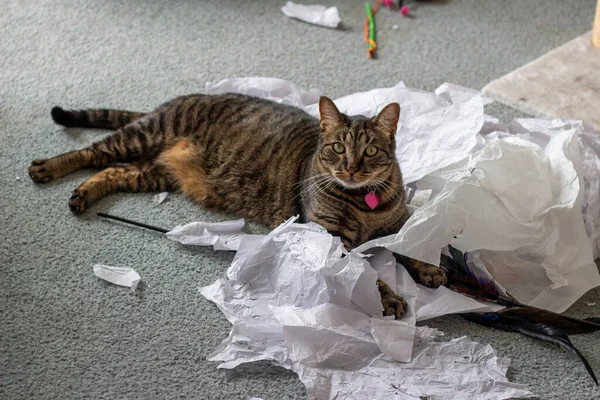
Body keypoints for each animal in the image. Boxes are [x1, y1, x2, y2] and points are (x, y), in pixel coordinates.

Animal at [28, 92, 446, 318]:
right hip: (141, 137)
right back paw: (48, 168)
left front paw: (429, 268)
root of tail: (178, 99)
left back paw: (83, 193)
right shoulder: (327, 236)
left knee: (111, 170)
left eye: (371, 151)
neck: (364, 202)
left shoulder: (399, 221)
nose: (351, 168)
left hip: (153, 171)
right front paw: (389, 297)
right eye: (338, 148)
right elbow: (368, 274)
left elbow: (416, 244)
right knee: (90, 152)